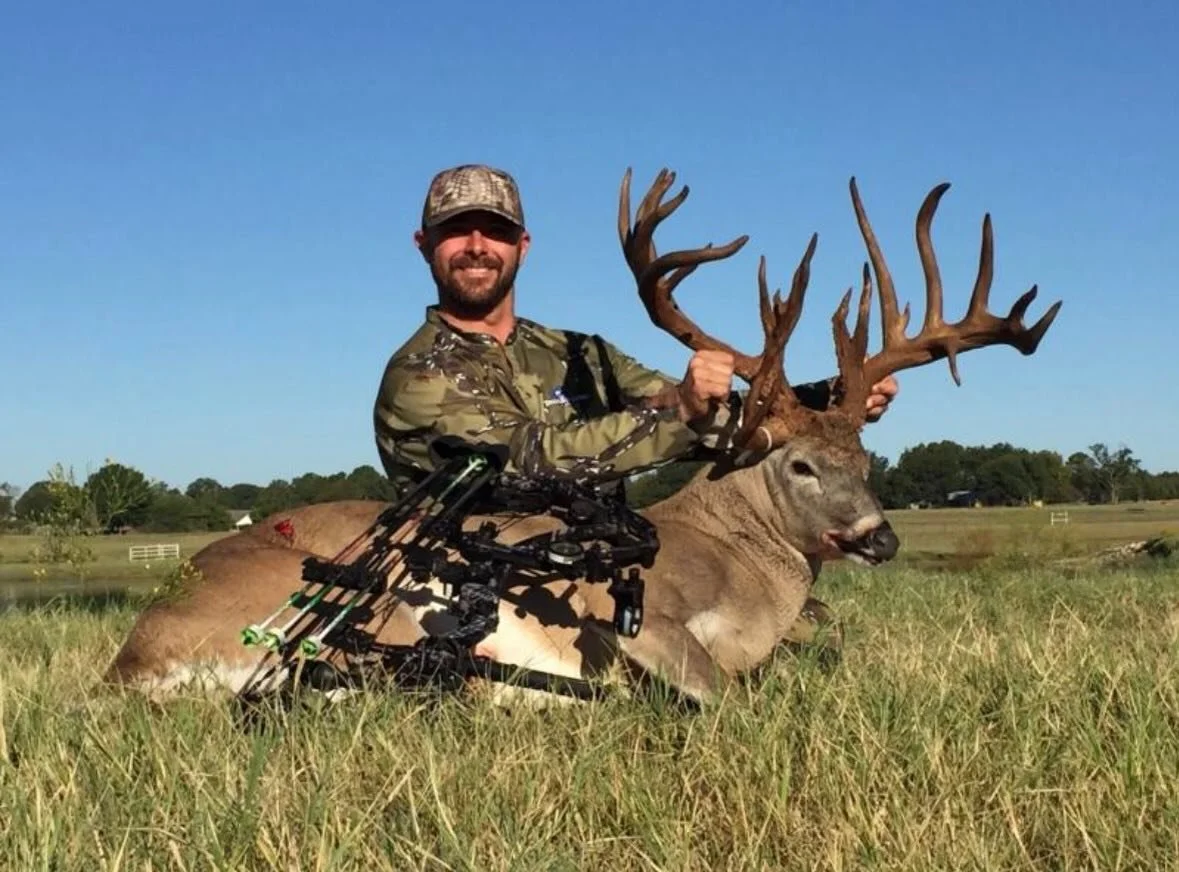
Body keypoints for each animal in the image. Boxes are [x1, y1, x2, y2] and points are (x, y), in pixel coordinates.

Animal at [101, 168, 1061, 707]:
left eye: (865, 457)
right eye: (798, 463)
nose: (879, 537)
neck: (747, 569)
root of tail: (129, 659)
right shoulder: (643, 620)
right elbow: (733, 701)